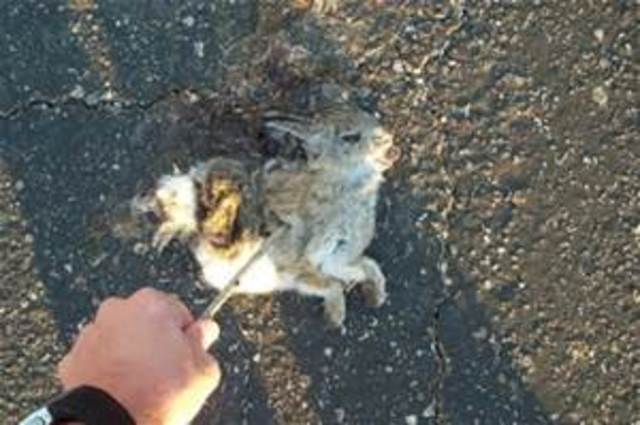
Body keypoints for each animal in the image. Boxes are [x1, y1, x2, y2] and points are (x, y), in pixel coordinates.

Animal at [134, 104, 399, 327]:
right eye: (350, 137)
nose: (390, 141)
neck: (343, 184)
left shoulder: (336, 256)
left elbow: (365, 264)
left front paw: (375, 295)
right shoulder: (301, 262)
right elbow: (331, 283)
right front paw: (336, 316)